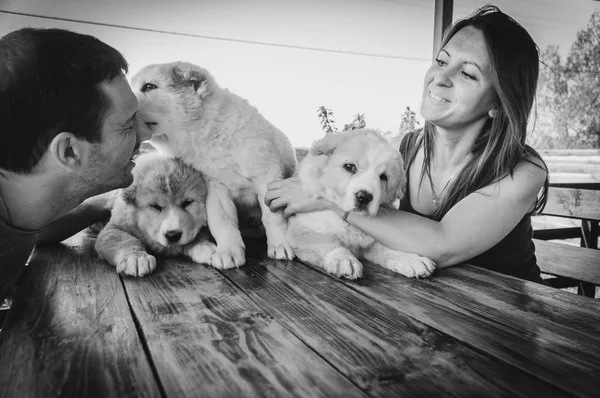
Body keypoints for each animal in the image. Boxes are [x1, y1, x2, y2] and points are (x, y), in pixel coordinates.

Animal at [132, 61, 298, 268]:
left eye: (149, 87)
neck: (211, 134)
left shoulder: (266, 175)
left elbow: (273, 217)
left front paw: (280, 244)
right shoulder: (216, 188)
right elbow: (222, 222)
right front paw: (228, 251)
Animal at [286, 131, 436, 280]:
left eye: (384, 177)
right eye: (349, 167)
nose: (364, 197)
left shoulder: (370, 243)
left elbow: (386, 249)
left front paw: (411, 259)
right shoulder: (300, 232)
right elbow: (326, 240)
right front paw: (343, 259)